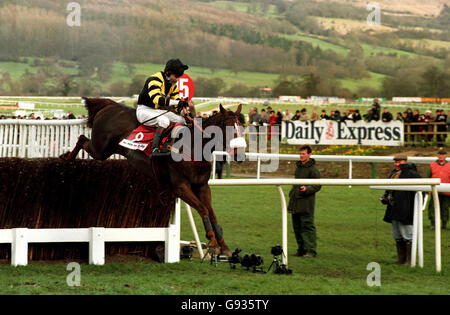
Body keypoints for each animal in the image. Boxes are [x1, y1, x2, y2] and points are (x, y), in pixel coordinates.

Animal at [59, 97, 244, 258]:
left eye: (241, 125)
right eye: (228, 125)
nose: (240, 152)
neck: (193, 147)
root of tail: (110, 105)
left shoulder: (202, 186)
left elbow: (211, 213)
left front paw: (224, 246)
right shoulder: (180, 187)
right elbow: (203, 209)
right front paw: (212, 243)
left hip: (104, 150)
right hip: (100, 149)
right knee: (82, 139)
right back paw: (66, 157)